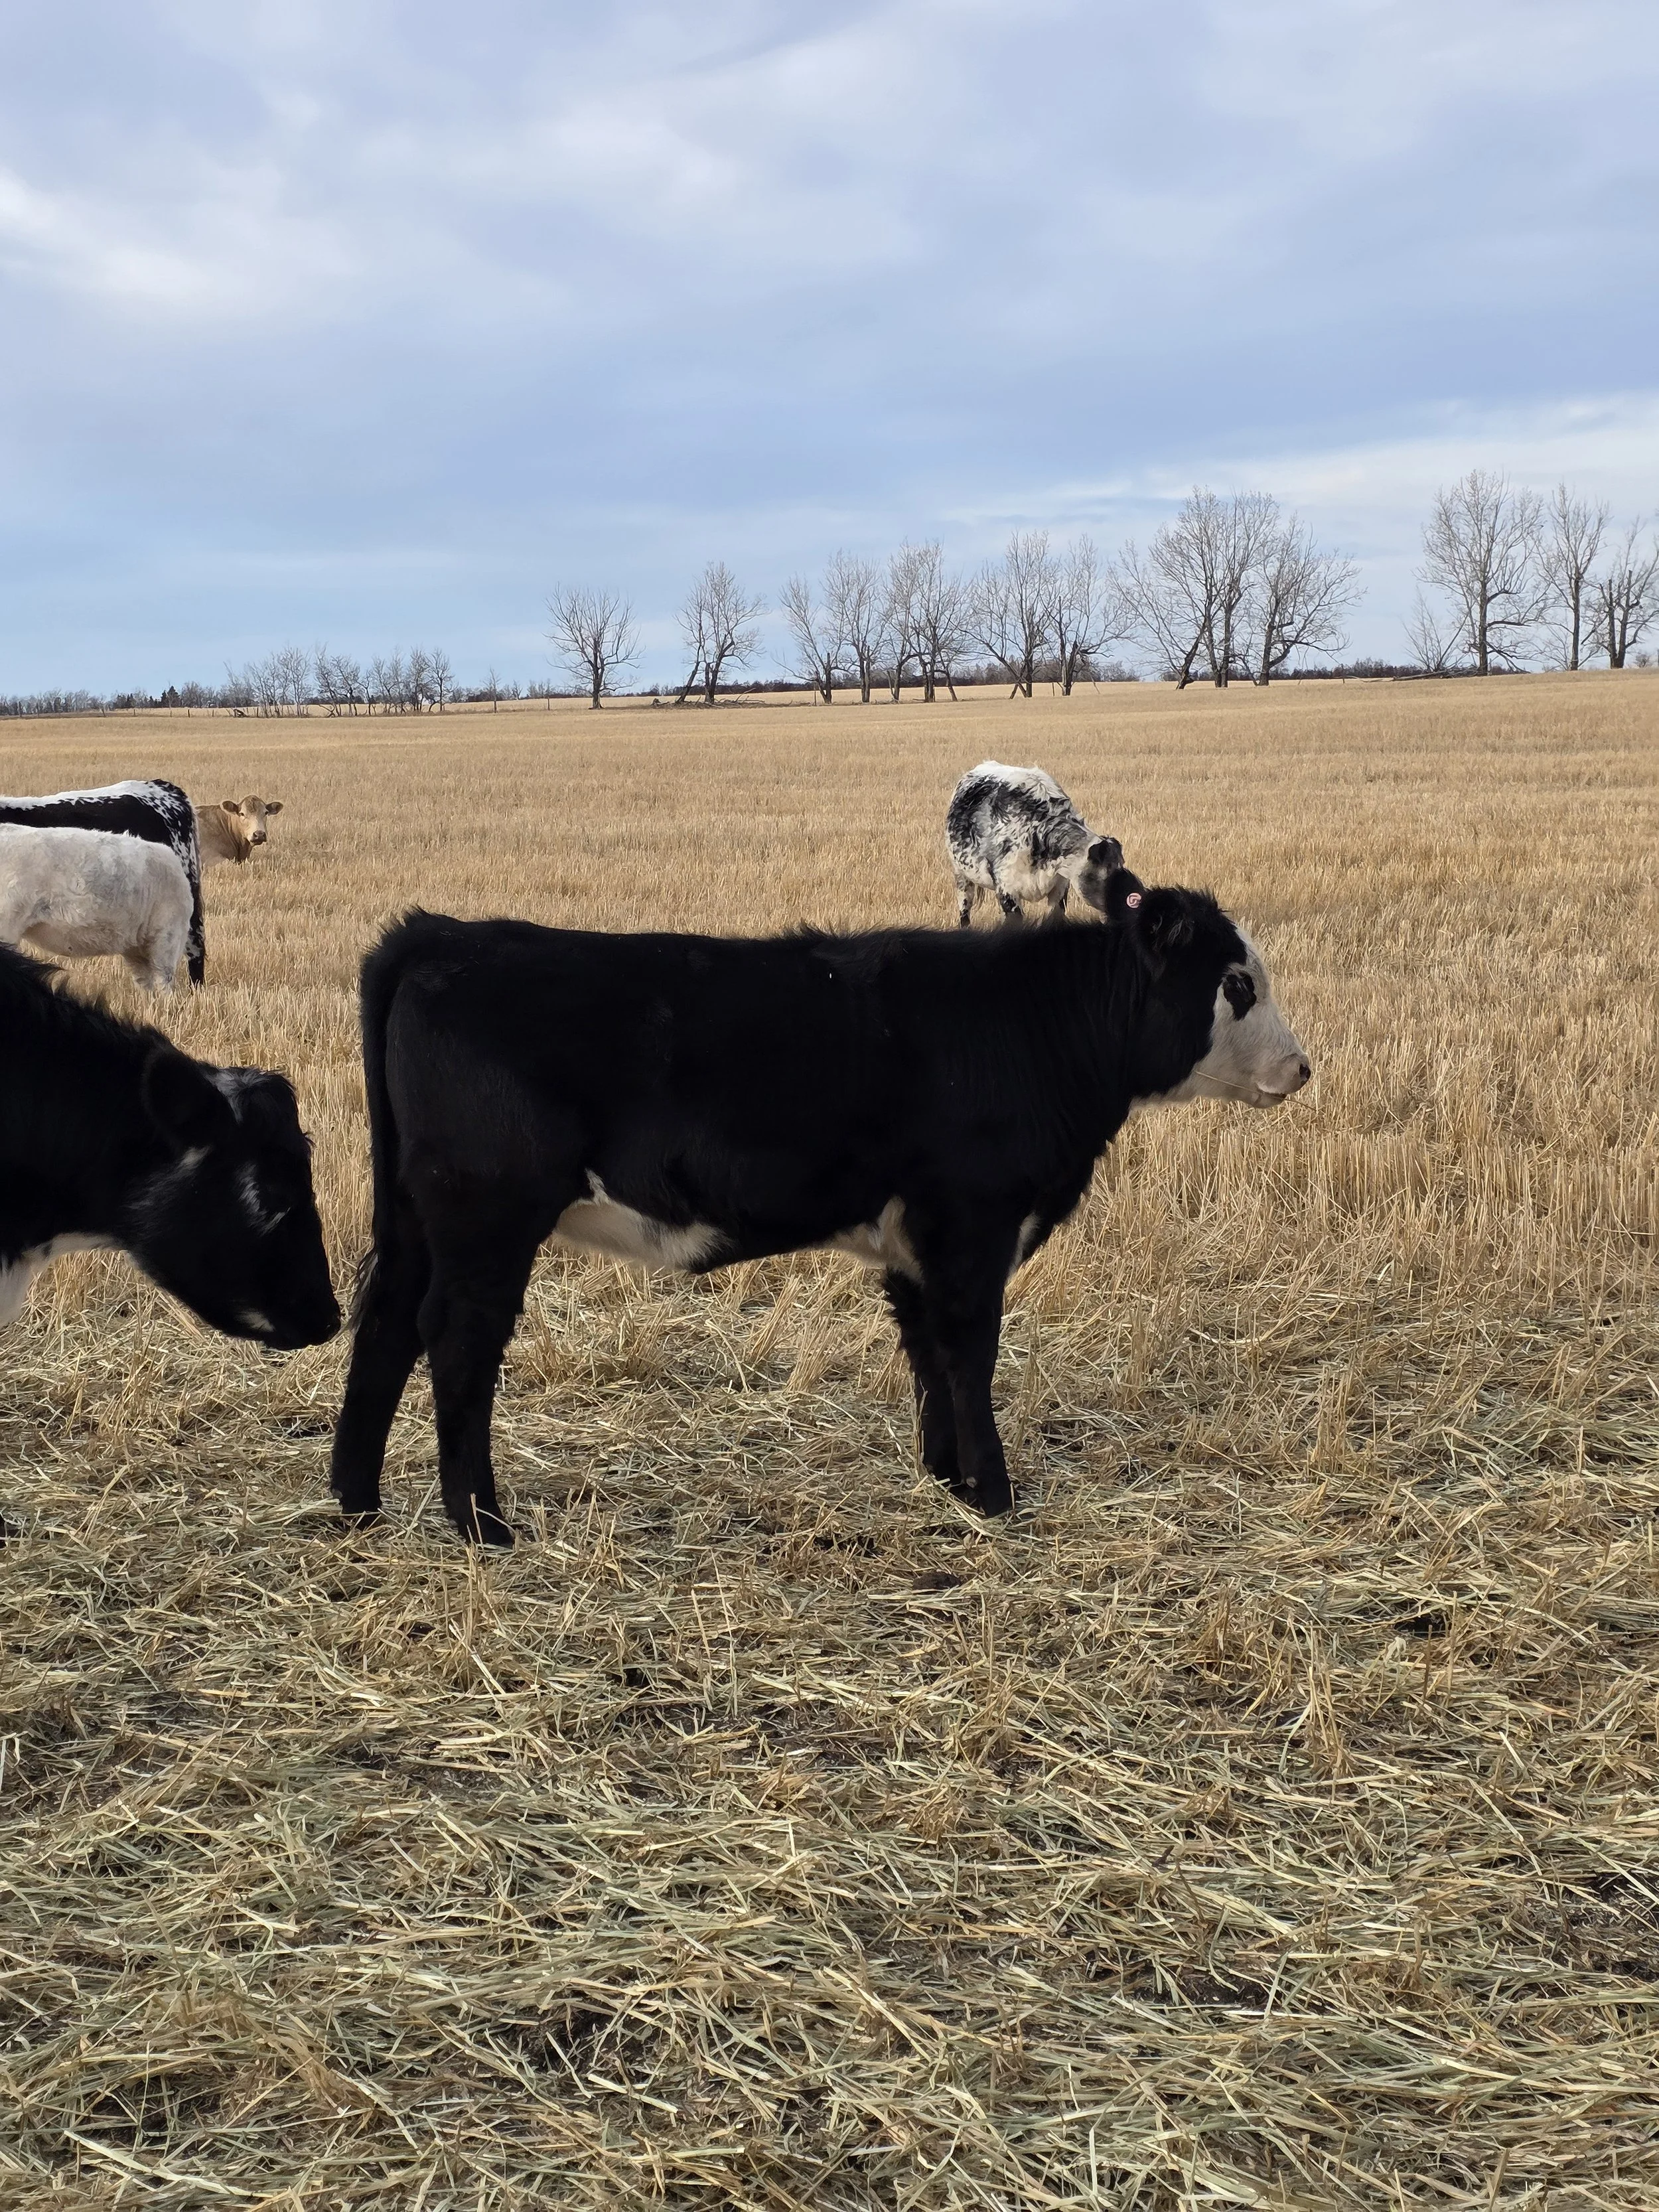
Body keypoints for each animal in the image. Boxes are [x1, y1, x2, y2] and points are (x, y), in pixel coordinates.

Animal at [329, 873, 1310, 1545]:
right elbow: (970, 1355)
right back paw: (482, 1524)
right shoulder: (972, 1223)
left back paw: (356, 1503)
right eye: (1235, 983)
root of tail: (437, 936)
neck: (1027, 1025)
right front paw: (995, 1496)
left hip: (416, 1219)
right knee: (456, 1340)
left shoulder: (917, 1242)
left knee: (383, 1328)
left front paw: (948, 1480)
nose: (1303, 1068)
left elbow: (929, 1357)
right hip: (486, 1218)